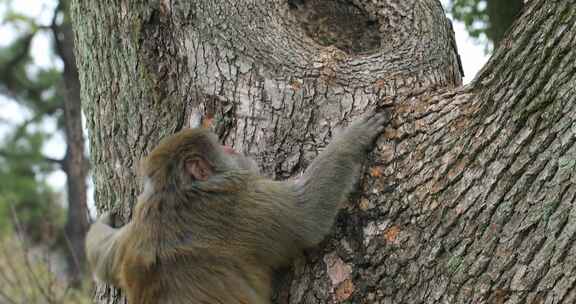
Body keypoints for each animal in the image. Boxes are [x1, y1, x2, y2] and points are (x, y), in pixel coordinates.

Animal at [85, 111, 390, 304]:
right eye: (224, 149)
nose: (233, 148)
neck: (173, 193)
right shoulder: (240, 202)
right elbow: (307, 217)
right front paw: (351, 139)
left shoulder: (139, 217)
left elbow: (106, 259)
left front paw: (103, 222)